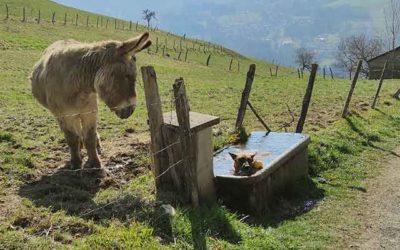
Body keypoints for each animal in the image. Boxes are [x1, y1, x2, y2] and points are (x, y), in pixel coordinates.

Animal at [29, 32, 152, 170]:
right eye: (127, 76)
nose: (131, 110)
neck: (78, 83)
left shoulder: (90, 111)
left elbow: (90, 137)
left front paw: (94, 163)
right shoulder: (63, 115)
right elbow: (72, 138)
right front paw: (76, 163)